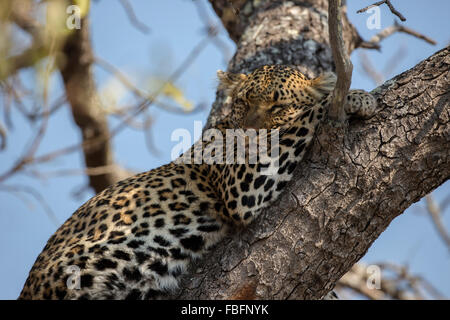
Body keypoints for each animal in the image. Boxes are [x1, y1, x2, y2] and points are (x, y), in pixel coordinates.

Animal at [18, 64, 376, 300]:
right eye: (244, 101)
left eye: (279, 105)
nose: (249, 134)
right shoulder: (243, 185)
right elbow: (301, 120)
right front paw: (357, 97)